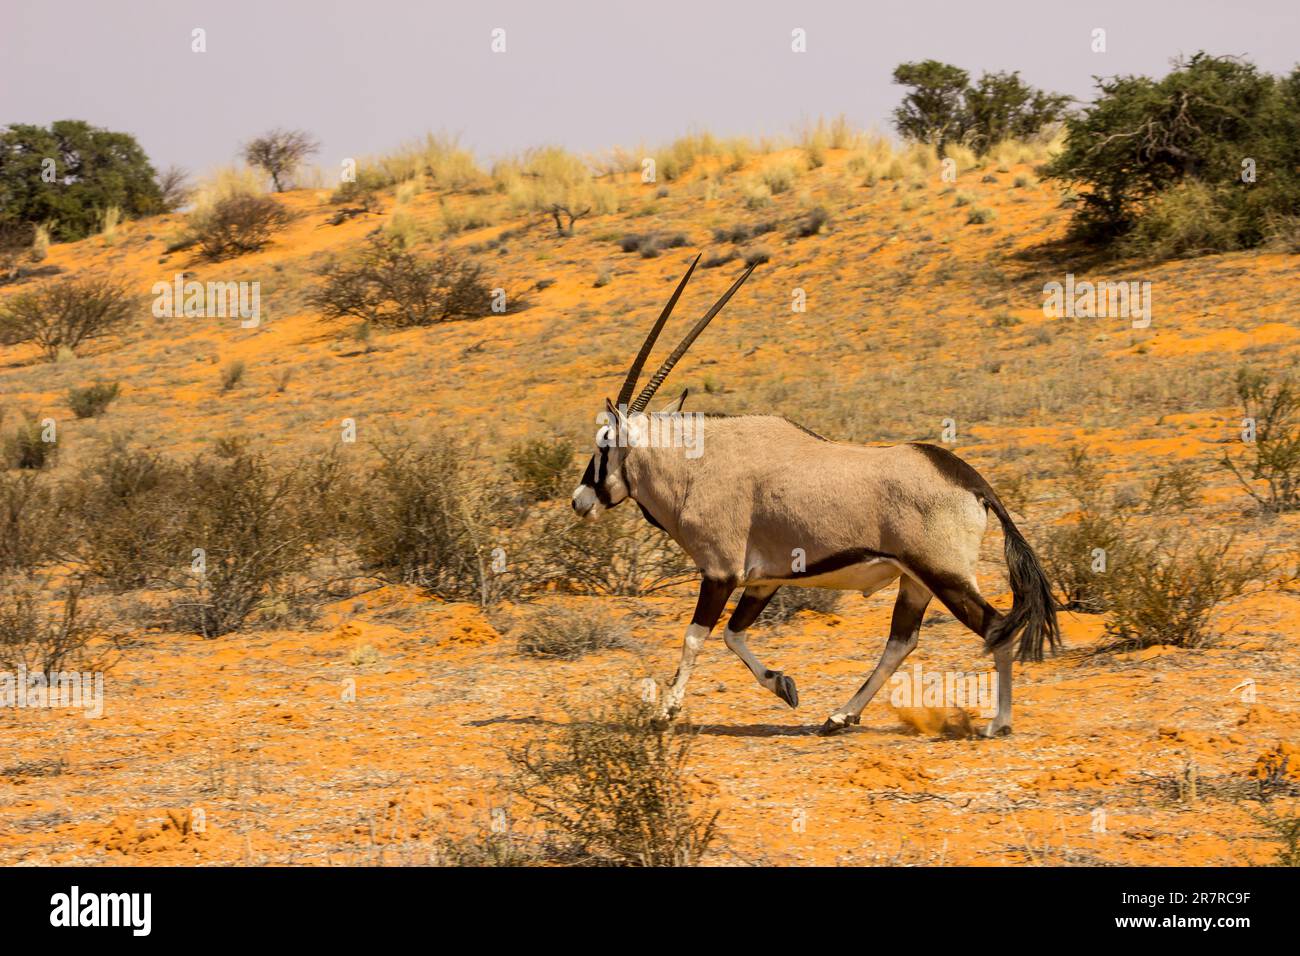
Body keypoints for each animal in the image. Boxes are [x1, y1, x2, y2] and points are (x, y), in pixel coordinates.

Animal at [574, 256, 1060, 738]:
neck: (696, 464)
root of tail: (973, 482)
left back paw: (998, 723)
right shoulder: (764, 580)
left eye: (604, 441)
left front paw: (665, 713)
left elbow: (696, 637)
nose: (580, 501)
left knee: (995, 628)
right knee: (901, 642)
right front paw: (783, 685)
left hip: (945, 576)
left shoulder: (719, 573)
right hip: (916, 583)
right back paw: (841, 716)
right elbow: (734, 634)